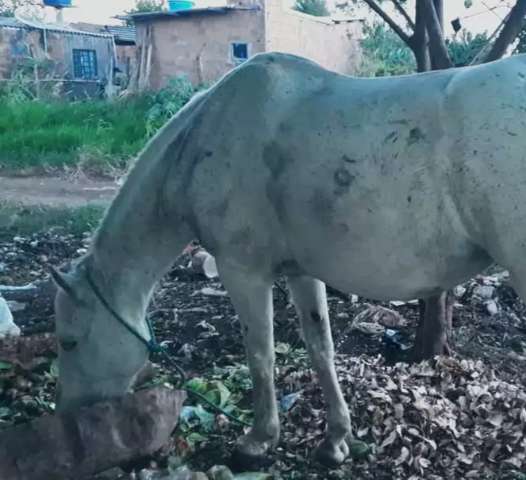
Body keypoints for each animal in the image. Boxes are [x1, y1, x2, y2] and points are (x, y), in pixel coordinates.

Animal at [51, 51, 526, 464]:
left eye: (69, 341)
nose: (68, 419)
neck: (200, 139)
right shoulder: (303, 272)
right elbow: (320, 347)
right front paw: (335, 441)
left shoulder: (242, 271)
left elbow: (260, 354)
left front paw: (258, 440)